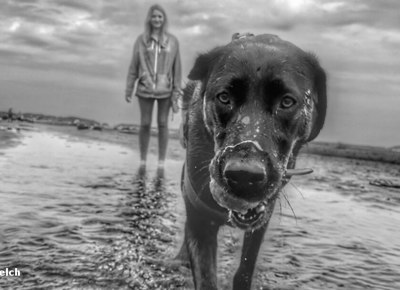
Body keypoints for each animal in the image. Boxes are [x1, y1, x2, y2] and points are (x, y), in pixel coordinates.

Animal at [180, 32, 326, 288]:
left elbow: (245, 268)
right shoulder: (199, 221)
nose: (244, 176)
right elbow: (206, 276)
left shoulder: (262, 220)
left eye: (287, 102)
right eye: (224, 97)